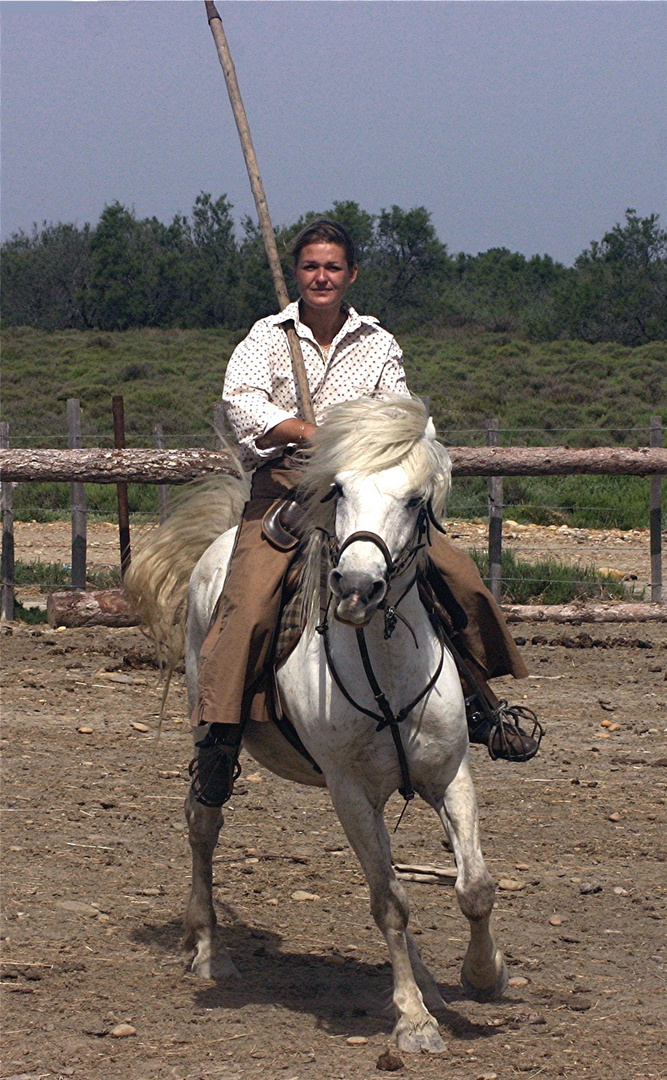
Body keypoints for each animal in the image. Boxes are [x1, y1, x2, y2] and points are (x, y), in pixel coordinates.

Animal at [127, 397, 502, 1054]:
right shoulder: (349, 792)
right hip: (209, 727)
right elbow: (389, 904)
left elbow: (472, 887)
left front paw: (483, 975)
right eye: (340, 489)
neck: (385, 664)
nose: (355, 587)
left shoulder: (449, 774)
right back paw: (209, 949)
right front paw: (412, 1021)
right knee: (202, 824)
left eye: (415, 501)